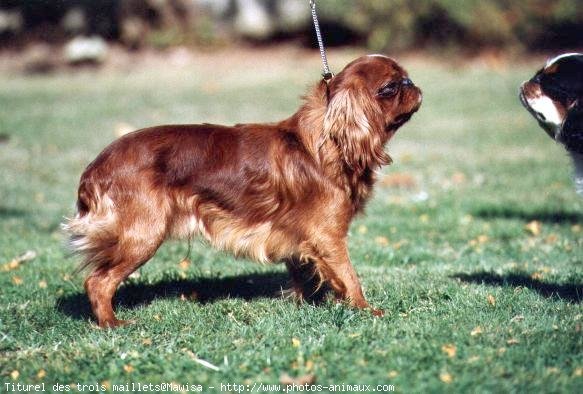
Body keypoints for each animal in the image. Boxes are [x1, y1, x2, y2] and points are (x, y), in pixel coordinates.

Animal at [64, 54, 422, 326]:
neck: (327, 143)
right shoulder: (327, 235)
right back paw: (111, 323)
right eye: (391, 87)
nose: (413, 85)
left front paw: (308, 306)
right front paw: (366, 310)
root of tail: (95, 168)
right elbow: (349, 275)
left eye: (405, 80)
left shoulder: (299, 238)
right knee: (98, 281)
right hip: (143, 235)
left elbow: (307, 275)